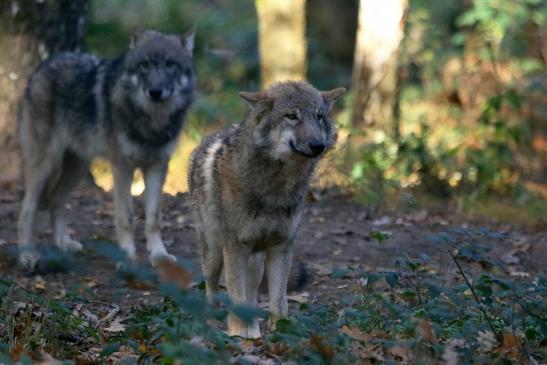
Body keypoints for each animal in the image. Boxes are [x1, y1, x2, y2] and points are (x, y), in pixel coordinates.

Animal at [17, 29, 197, 268]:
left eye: (170, 65)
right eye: (145, 65)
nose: (155, 91)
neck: (152, 121)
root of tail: (42, 66)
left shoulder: (158, 167)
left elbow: (153, 218)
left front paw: (159, 256)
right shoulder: (123, 168)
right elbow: (127, 217)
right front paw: (128, 257)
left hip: (78, 167)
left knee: (56, 200)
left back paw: (64, 244)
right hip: (45, 164)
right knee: (27, 209)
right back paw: (27, 254)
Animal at [188, 80, 342, 336]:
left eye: (319, 117)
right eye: (292, 116)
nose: (318, 145)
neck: (276, 187)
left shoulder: (282, 246)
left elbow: (279, 303)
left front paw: (280, 333)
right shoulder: (235, 248)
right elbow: (236, 300)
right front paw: (238, 337)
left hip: (256, 263)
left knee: (252, 298)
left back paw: (254, 334)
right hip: (214, 253)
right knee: (211, 288)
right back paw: (212, 325)